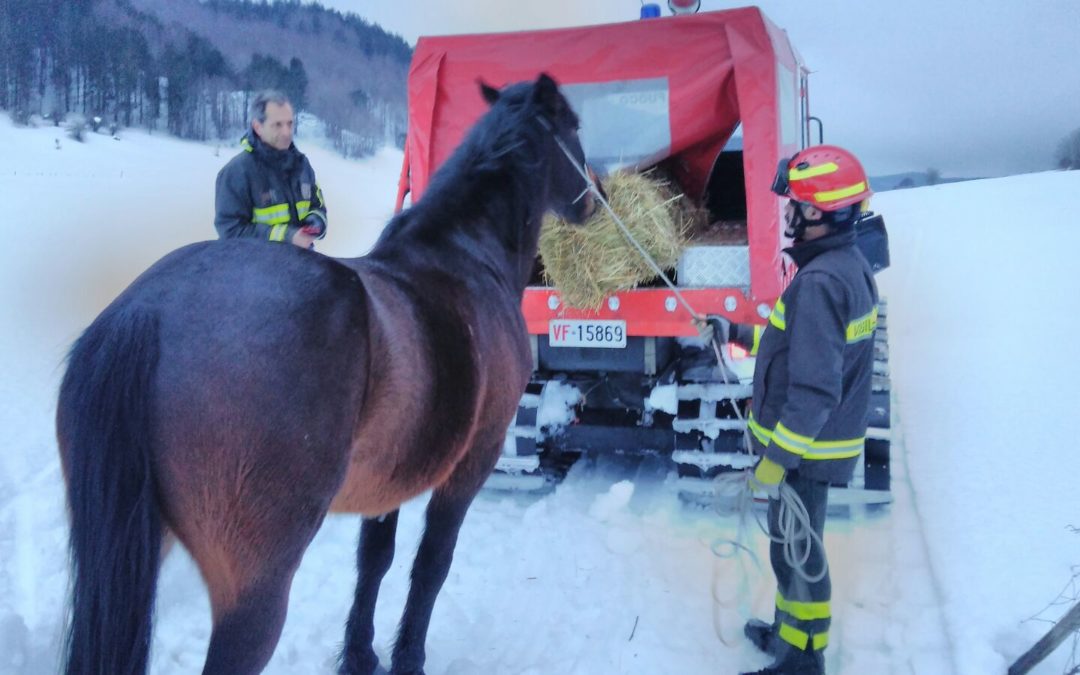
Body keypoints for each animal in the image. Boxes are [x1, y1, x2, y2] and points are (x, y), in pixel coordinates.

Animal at [56, 73, 600, 675]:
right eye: (574, 126)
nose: (594, 201)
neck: (465, 254)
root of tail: (146, 311)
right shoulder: (472, 463)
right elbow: (430, 564)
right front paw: (406, 657)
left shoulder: (389, 478)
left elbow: (374, 561)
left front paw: (360, 654)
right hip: (256, 585)